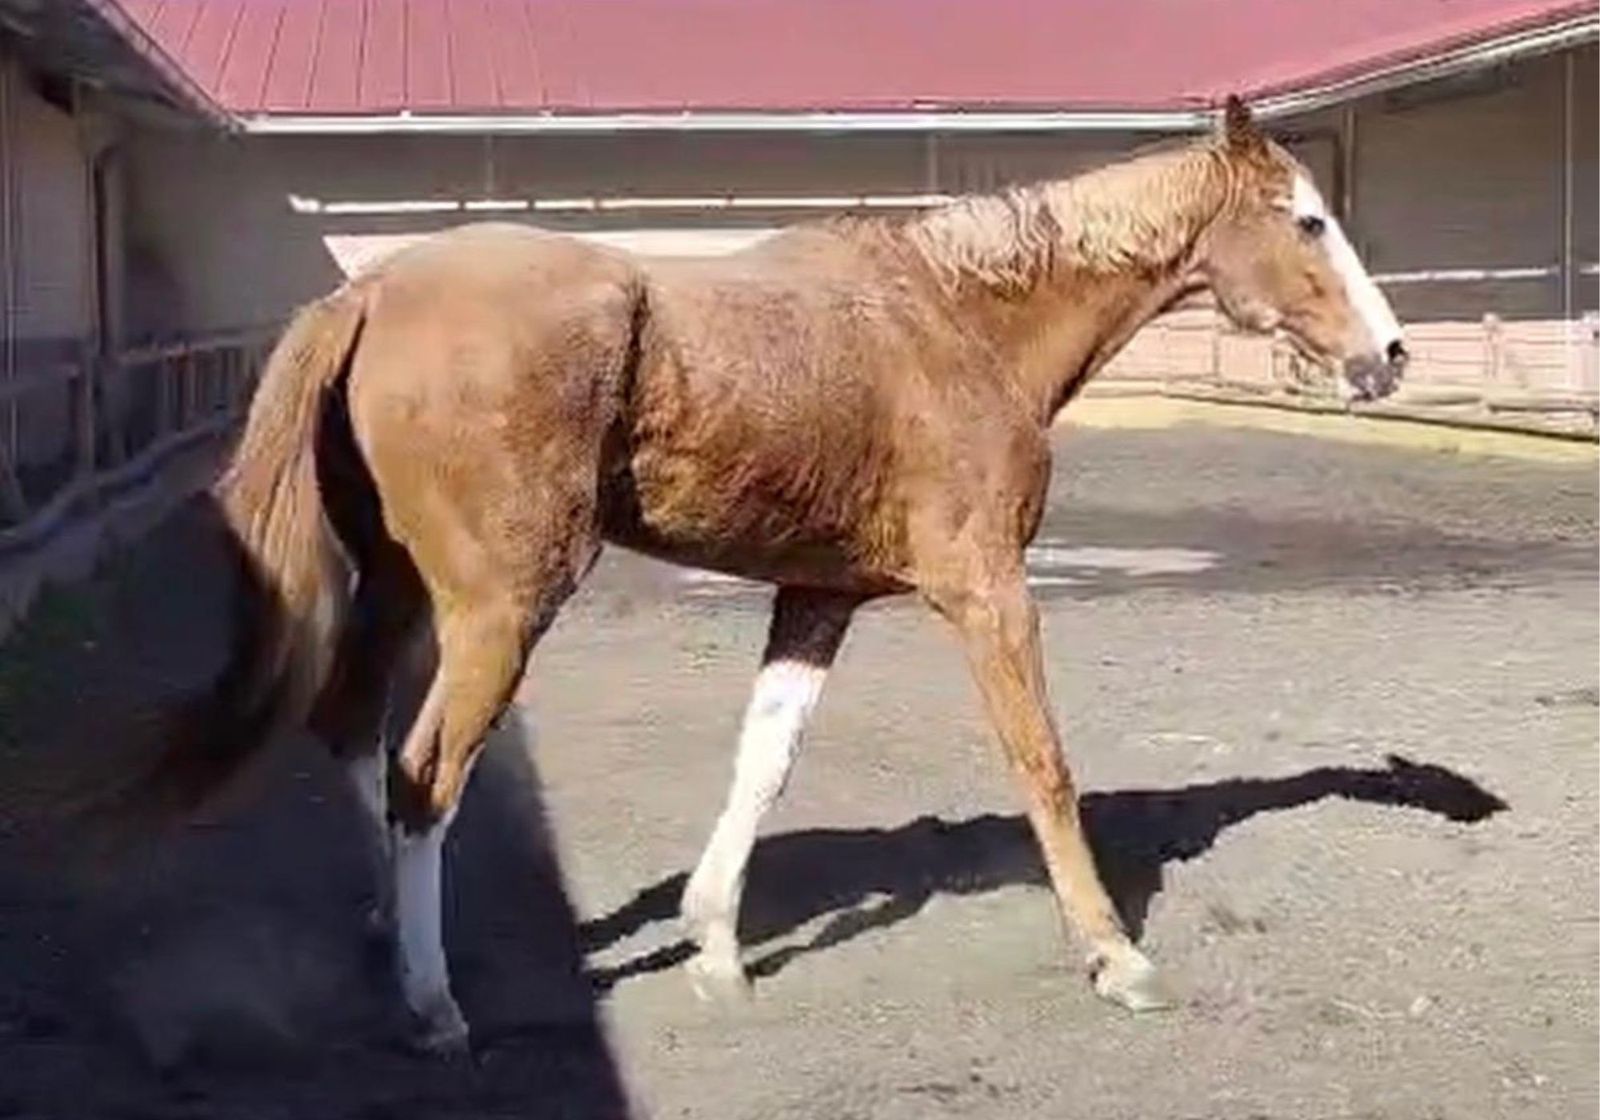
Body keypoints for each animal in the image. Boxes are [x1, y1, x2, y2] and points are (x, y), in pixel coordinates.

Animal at [117, 97, 1405, 1054]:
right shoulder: (985, 589)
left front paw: (718, 951)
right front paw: (1115, 956)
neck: (956, 319)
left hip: (398, 590)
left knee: (350, 729)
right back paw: (433, 1004)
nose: (1387, 355)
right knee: (423, 776)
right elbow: (1042, 763)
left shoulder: (818, 598)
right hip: (496, 609)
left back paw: (389, 933)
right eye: (1305, 221)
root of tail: (367, 291)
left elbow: (763, 762)